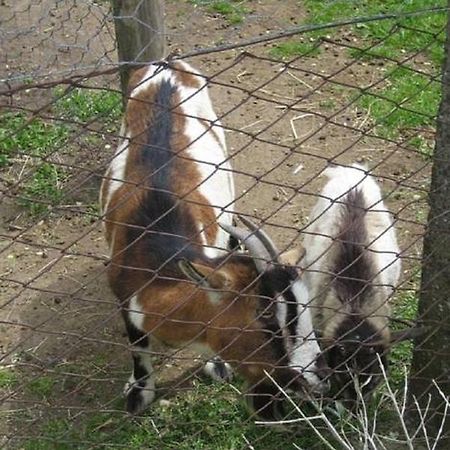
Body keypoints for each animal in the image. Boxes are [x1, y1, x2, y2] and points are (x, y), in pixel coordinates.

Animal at [100, 59, 328, 418]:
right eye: (266, 316)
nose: (320, 375)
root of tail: (167, 64)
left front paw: (218, 365)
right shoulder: (124, 297)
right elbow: (138, 347)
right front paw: (138, 393)